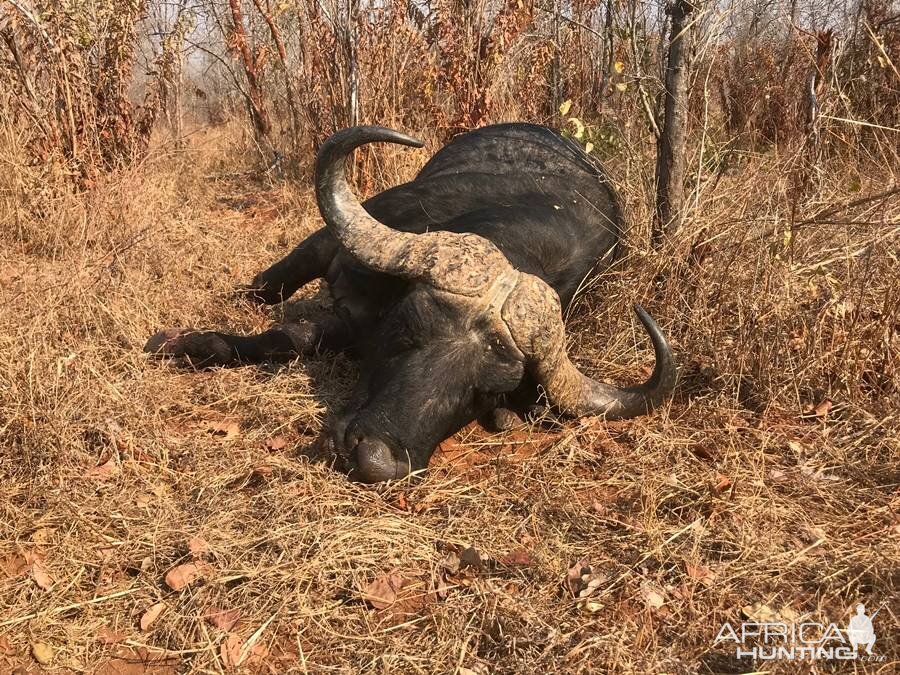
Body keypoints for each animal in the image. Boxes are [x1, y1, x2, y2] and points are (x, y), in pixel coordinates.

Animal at [146, 124, 676, 484]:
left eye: (486, 392)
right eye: (406, 331)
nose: (375, 460)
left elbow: (303, 335)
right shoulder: (336, 252)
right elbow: (287, 319)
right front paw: (184, 343)